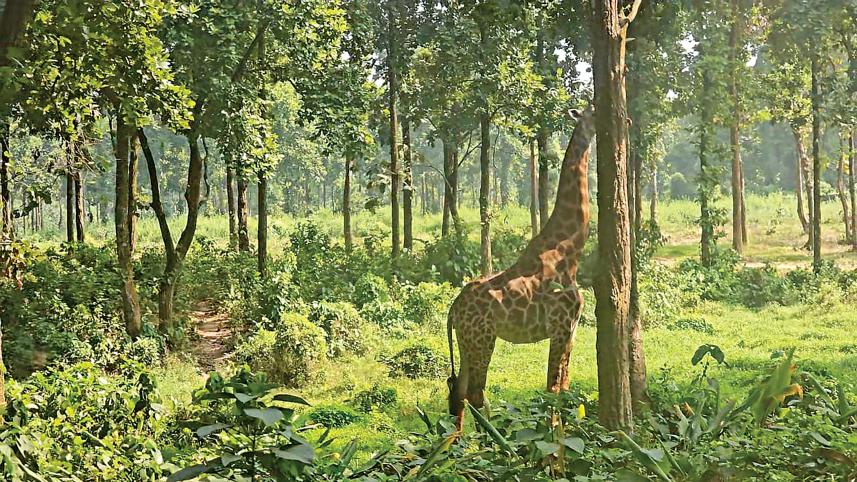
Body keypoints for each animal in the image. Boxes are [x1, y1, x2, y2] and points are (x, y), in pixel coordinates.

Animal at [447, 106, 595, 425]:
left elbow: (565, 387)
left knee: (458, 392)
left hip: (466, 342)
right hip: (483, 339)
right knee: (475, 393)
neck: (570, 251)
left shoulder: (573, 329)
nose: (625, 120)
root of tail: (452, 311)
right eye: (593, 111)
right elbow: (553, 389)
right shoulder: (560, 326)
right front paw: (554, 435)